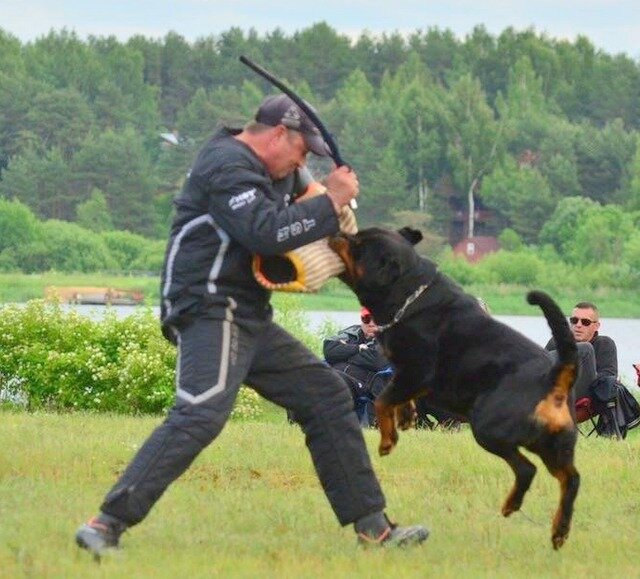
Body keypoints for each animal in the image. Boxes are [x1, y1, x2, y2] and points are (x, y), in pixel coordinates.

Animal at [330, 225, 580, 548]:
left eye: (358, 245)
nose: (335, 233)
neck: (409, 295)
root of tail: (554, 377)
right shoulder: (406, 375)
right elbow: (396, 395)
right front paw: (407, 416)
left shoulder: (417, 371)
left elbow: (382, 400)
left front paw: (388, 440)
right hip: (553, 443)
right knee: (570, 479)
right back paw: (558, 530)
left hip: (488, 427)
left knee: (527, 469)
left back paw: (513, 506)